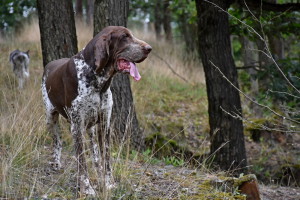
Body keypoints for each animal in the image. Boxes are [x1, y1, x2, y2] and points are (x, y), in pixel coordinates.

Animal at [41, 25, 151, 195]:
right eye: (124, 37)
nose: (149, 48)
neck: (97, 80)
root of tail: (49, 64)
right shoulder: (77, 126)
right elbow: (81, 161)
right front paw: (86, 189)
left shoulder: (104, 124)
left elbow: (106, 157)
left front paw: (108, 184)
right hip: (50, 117)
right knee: (57, 141)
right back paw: (56, 162)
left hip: (91, 128)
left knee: (95, 154)